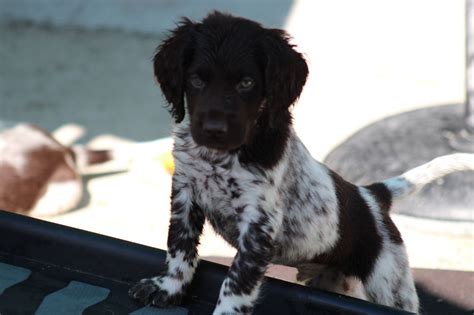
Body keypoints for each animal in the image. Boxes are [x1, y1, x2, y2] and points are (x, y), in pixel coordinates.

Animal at [130, 11, 474, 314]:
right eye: (196, 80)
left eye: (246, 83)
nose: (214, 129)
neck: (221, 157)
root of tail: (372, 195)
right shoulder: (185, 195)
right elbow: (179, 248)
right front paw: (168, 289)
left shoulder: (258, 225)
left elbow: (235, 282)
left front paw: (225, 311)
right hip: (331, 280)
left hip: (389, 283)